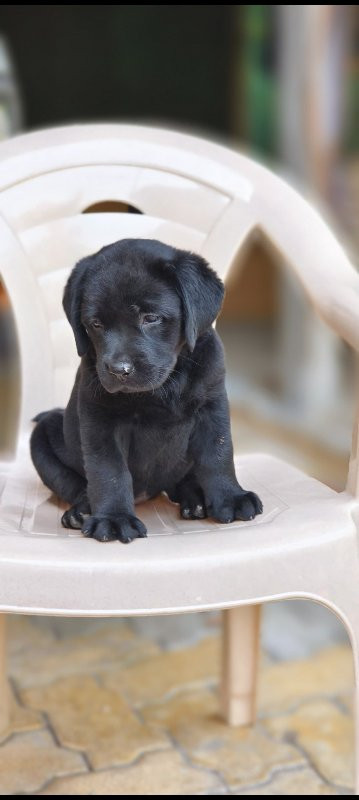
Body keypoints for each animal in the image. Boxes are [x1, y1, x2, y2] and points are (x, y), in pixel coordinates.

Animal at [29, 236, 262, 536]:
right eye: (95, 324)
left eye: (151, 318)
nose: (119, 370)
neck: (164, 387)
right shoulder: (99, 419)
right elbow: (109, 471)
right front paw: (113, 518)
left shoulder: (212, 404)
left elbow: (218, 453)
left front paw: (231, 497)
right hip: (43, 435)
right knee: (75, 484)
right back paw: (81, 512)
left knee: (182, 480)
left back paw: (195, 500)